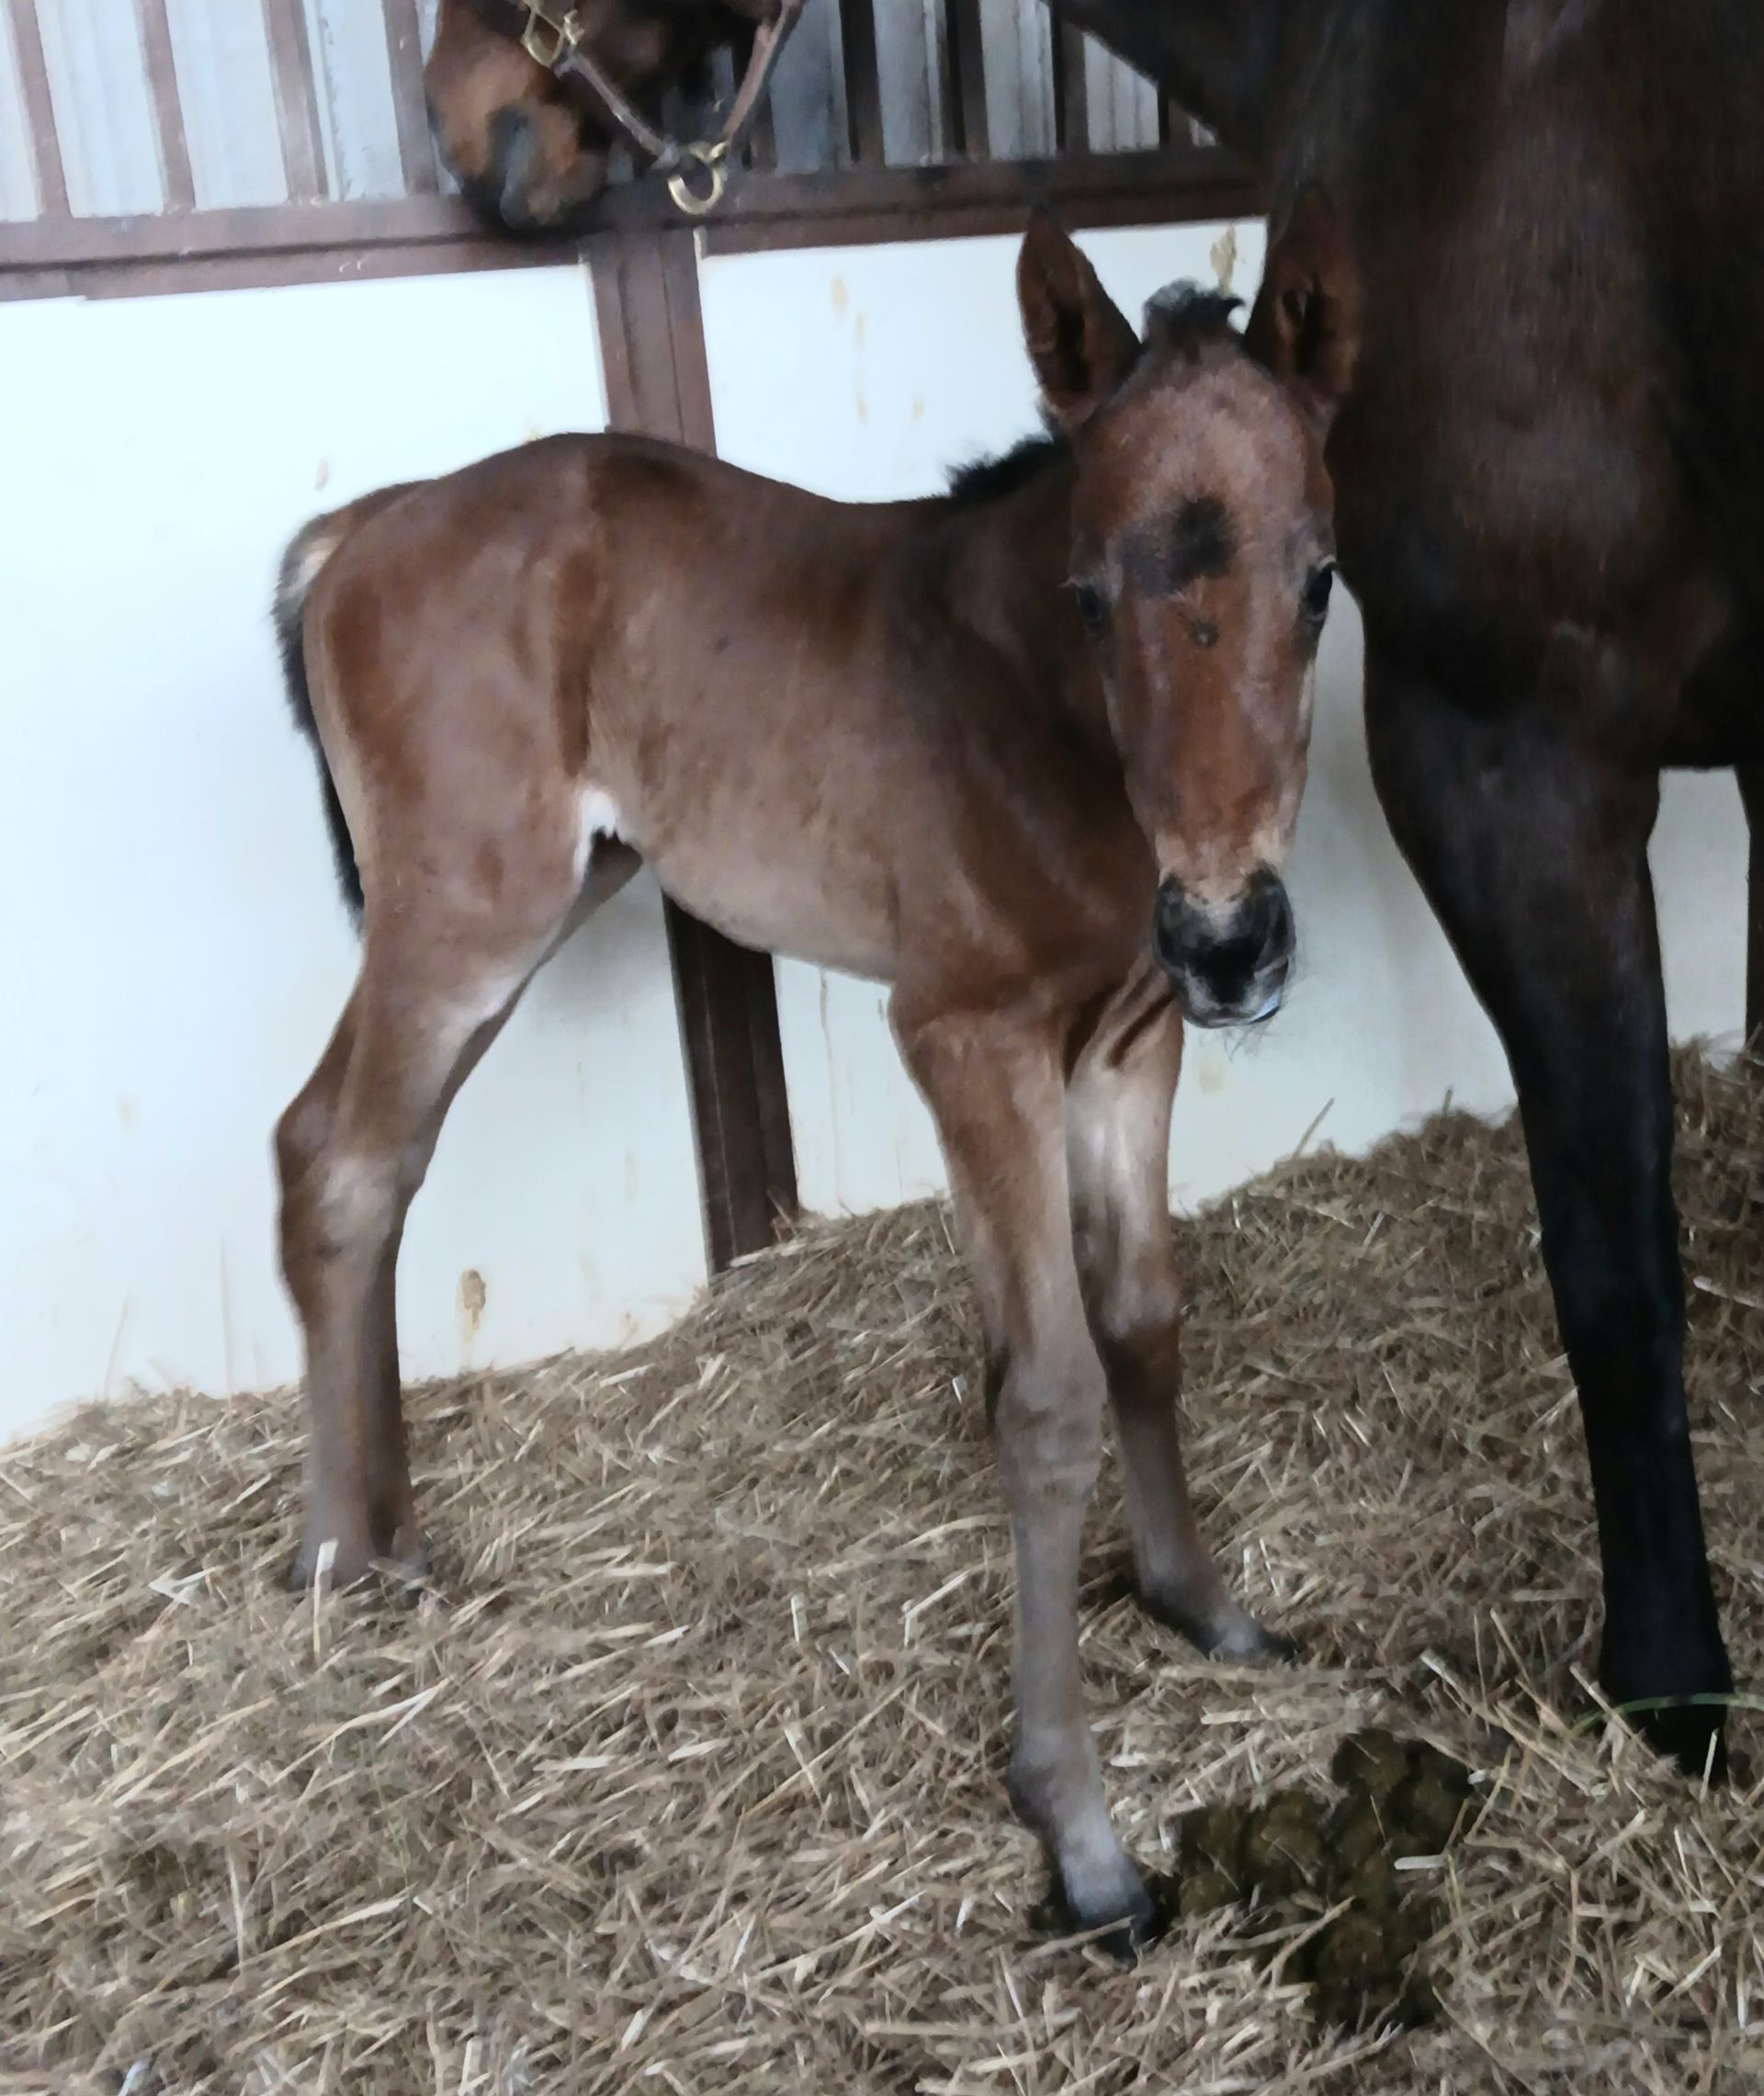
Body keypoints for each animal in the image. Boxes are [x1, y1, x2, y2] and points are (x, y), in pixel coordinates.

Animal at [271, 213, 1352, 1947]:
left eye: (1318, 581)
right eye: (1089, 594)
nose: (1232, 934)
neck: (1036, 715)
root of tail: (360, 524)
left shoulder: (1134, 1034)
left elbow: (1144, 1324)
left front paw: (1201, 1606)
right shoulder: (968, 1036)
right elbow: (1045, 1390)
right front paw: (1079, 1831)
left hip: (525, 910)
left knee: (379, 1164)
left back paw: (398, 1541)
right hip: (464, 917)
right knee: (334, 1160)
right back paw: (329, 1567)